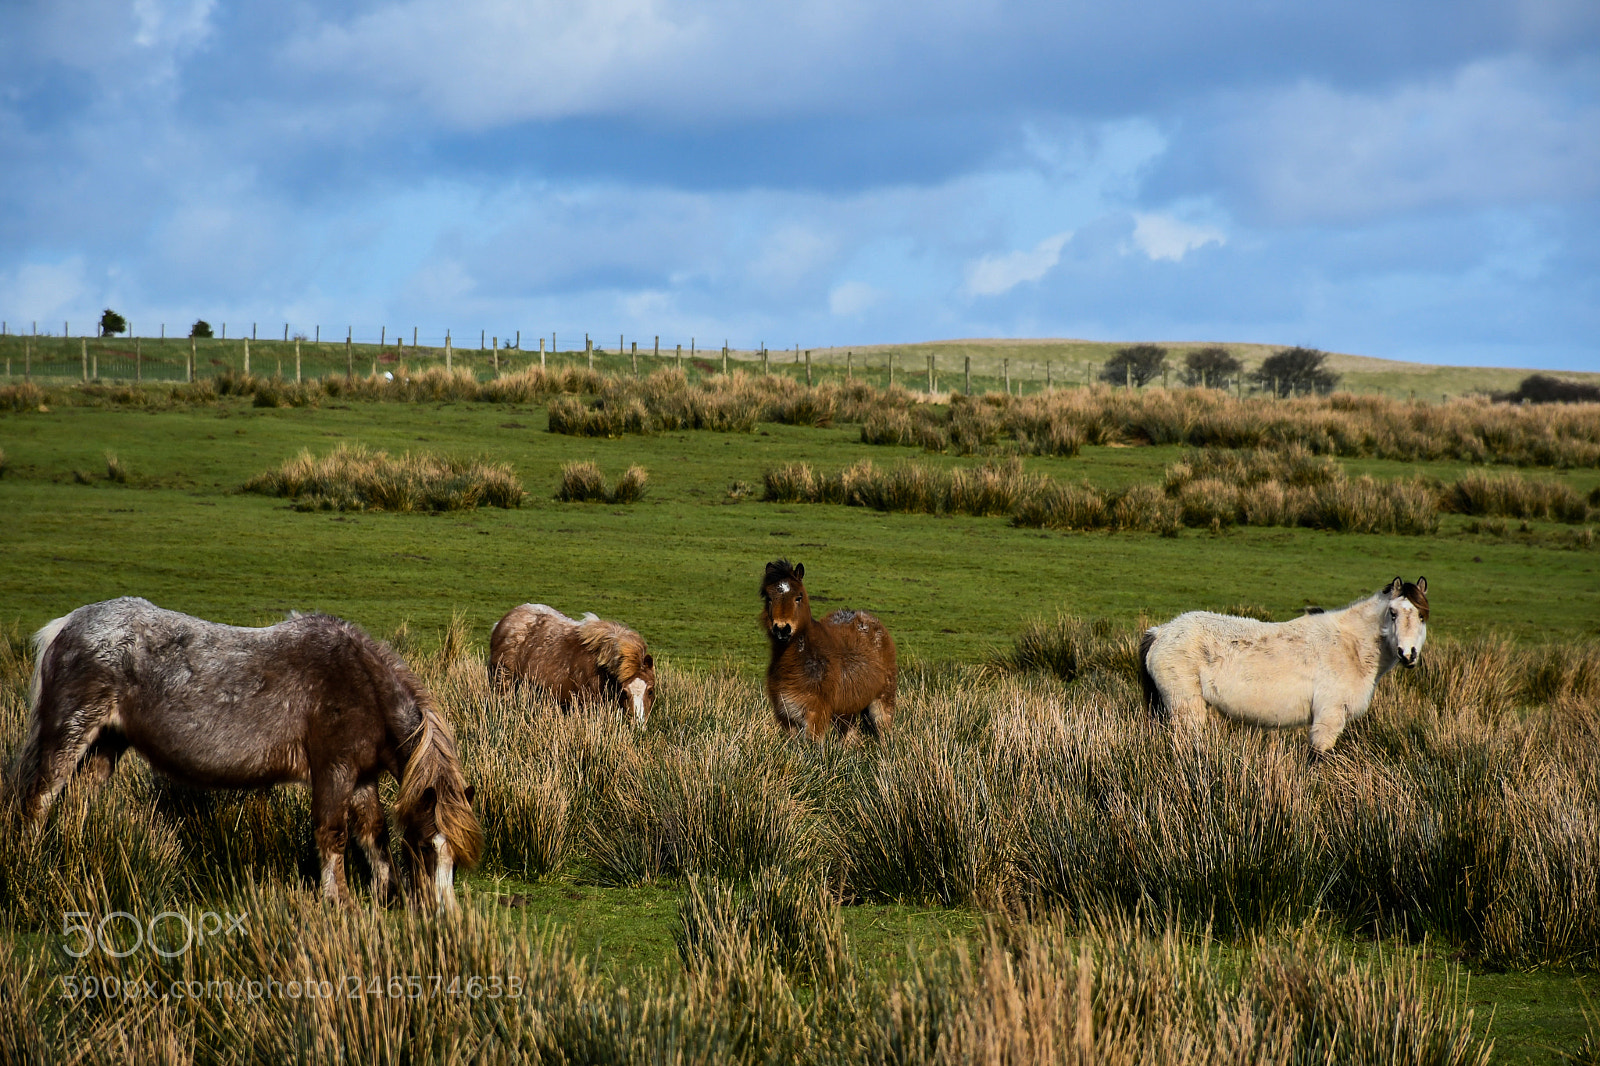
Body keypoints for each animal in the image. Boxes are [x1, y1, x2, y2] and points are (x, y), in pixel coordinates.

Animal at [15, 598, 481, 912]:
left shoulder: (362, 777)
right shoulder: (333, 771)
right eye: (426, 848)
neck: (361, 684)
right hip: (70, 735)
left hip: (105, 747)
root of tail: (66, 625)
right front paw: (340, 902)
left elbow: (374, 834)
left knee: (78, 804)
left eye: (454, 859)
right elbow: (333, 834)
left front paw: (386, 894)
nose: (446, 916)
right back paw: (31, 862)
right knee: (39, 799)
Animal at [759, 560, 897, 740]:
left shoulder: (816, 715)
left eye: (798, 597)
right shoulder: (787, 718)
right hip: (847, 713)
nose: (782, 629)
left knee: (885, 734)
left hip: (882, 703)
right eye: (769, 598)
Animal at [1139, 577, 1428, 761]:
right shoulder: (1329, 717)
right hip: (1186, 709)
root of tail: (1162, 632)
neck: (1351, 646)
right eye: (1392, 613)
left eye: (1422, 615)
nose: (1408, 654)